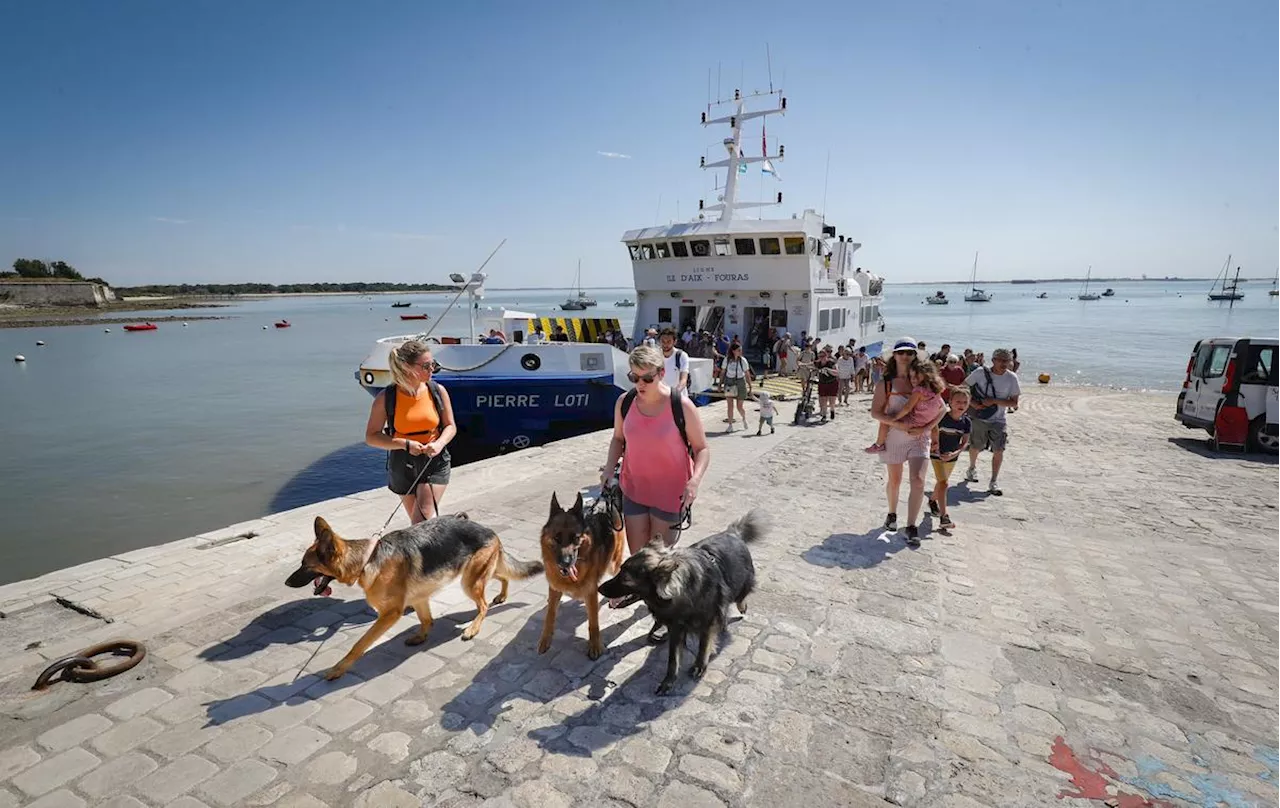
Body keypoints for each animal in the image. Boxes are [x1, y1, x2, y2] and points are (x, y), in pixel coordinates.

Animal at [288, 514, 542, 681]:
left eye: (305, 566)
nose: (287, 583)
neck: (367, 560)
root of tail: (488, 529)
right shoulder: (419, 598)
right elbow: (426, 619)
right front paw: (421, 636)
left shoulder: (389, 614)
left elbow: (359, 645)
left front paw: (339, 668)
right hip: (478, 574)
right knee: (504, 575)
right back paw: (502, 595)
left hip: (470, 582)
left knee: (484, 605)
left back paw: (473, 628)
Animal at [535, 489, 624, 660]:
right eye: (557, 537)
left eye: (576, 538)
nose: (566, 563)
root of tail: (606, 497)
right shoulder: (554, 590)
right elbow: (550, 615)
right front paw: (545, 640)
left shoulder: (590, 593)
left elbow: (593, 623)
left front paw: (595, 646)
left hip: (613, 564)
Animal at [599, 512, 757, 696]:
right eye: (620, 571)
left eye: (625, 579)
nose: (599, 588)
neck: (684, 592)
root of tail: (732, 533)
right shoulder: (676, 628)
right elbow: (673, 659)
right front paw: (668, 681)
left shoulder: (707, 623)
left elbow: (703, 646)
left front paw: (699, 666)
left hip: (740, 584)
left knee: (740, 597)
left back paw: (741, 607)